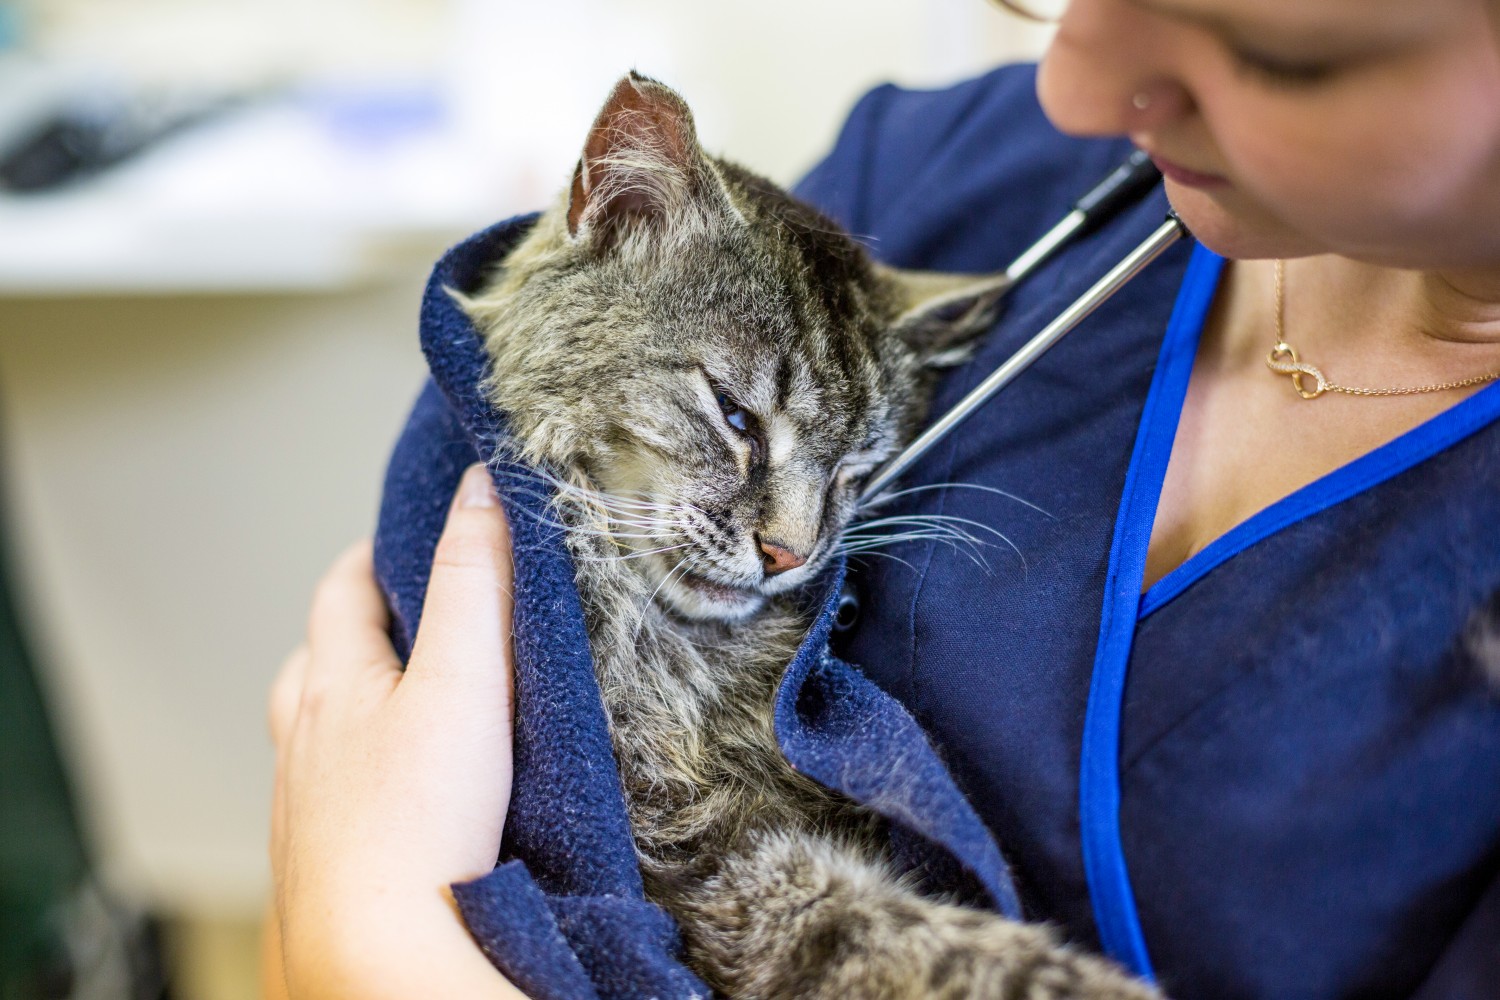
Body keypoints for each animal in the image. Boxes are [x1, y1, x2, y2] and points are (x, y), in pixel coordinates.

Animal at [459, 72, 1158, 1000]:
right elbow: (912, 943)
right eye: (735, 417)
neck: (685, 656)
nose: (790, 555)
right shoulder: (696, 855)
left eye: (855, 471)